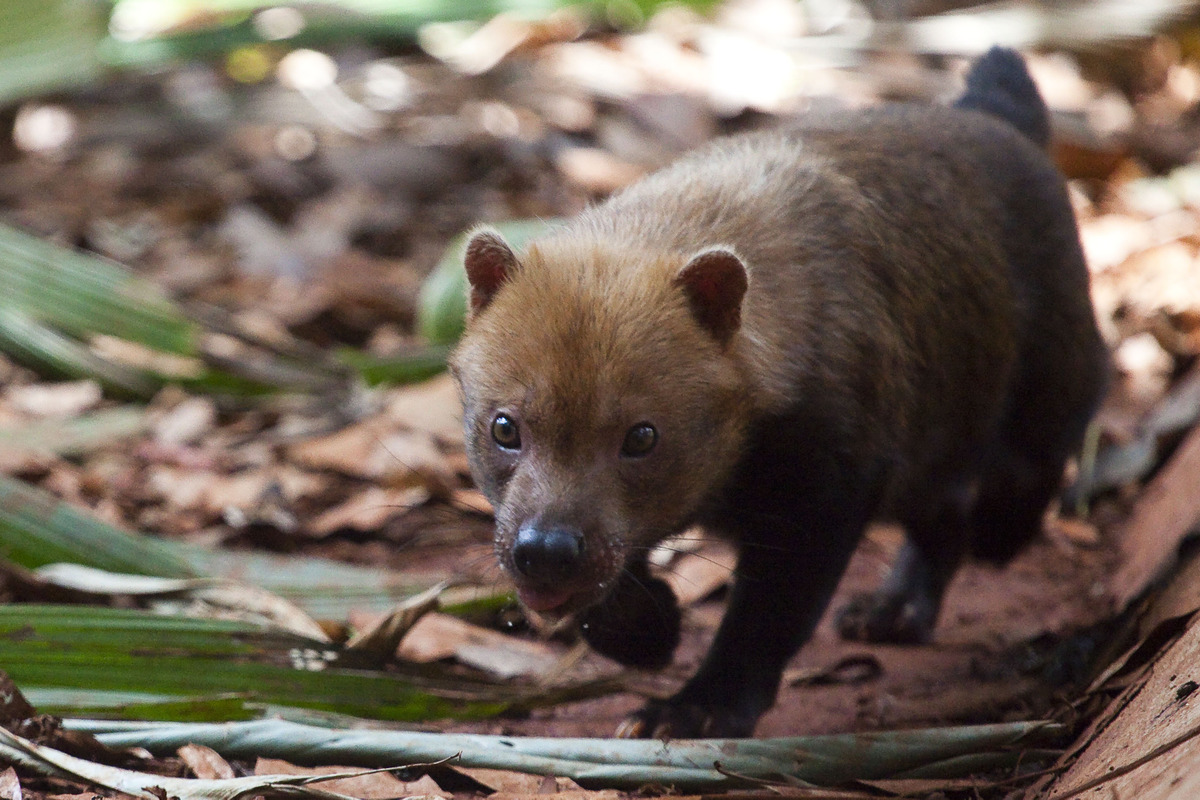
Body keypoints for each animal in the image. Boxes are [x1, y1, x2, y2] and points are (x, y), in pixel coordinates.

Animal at [451, 48, 1104, 738]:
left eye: (642, 437)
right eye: (504, 428)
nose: (545, 554)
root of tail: (999, 115)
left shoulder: (826, 489)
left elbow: (766, 619)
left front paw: (696, 709)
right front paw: (651, 629)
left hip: (1051, 373)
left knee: (1047, 443)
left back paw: (998, 535)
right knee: (944, 512)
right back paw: (895, 610)